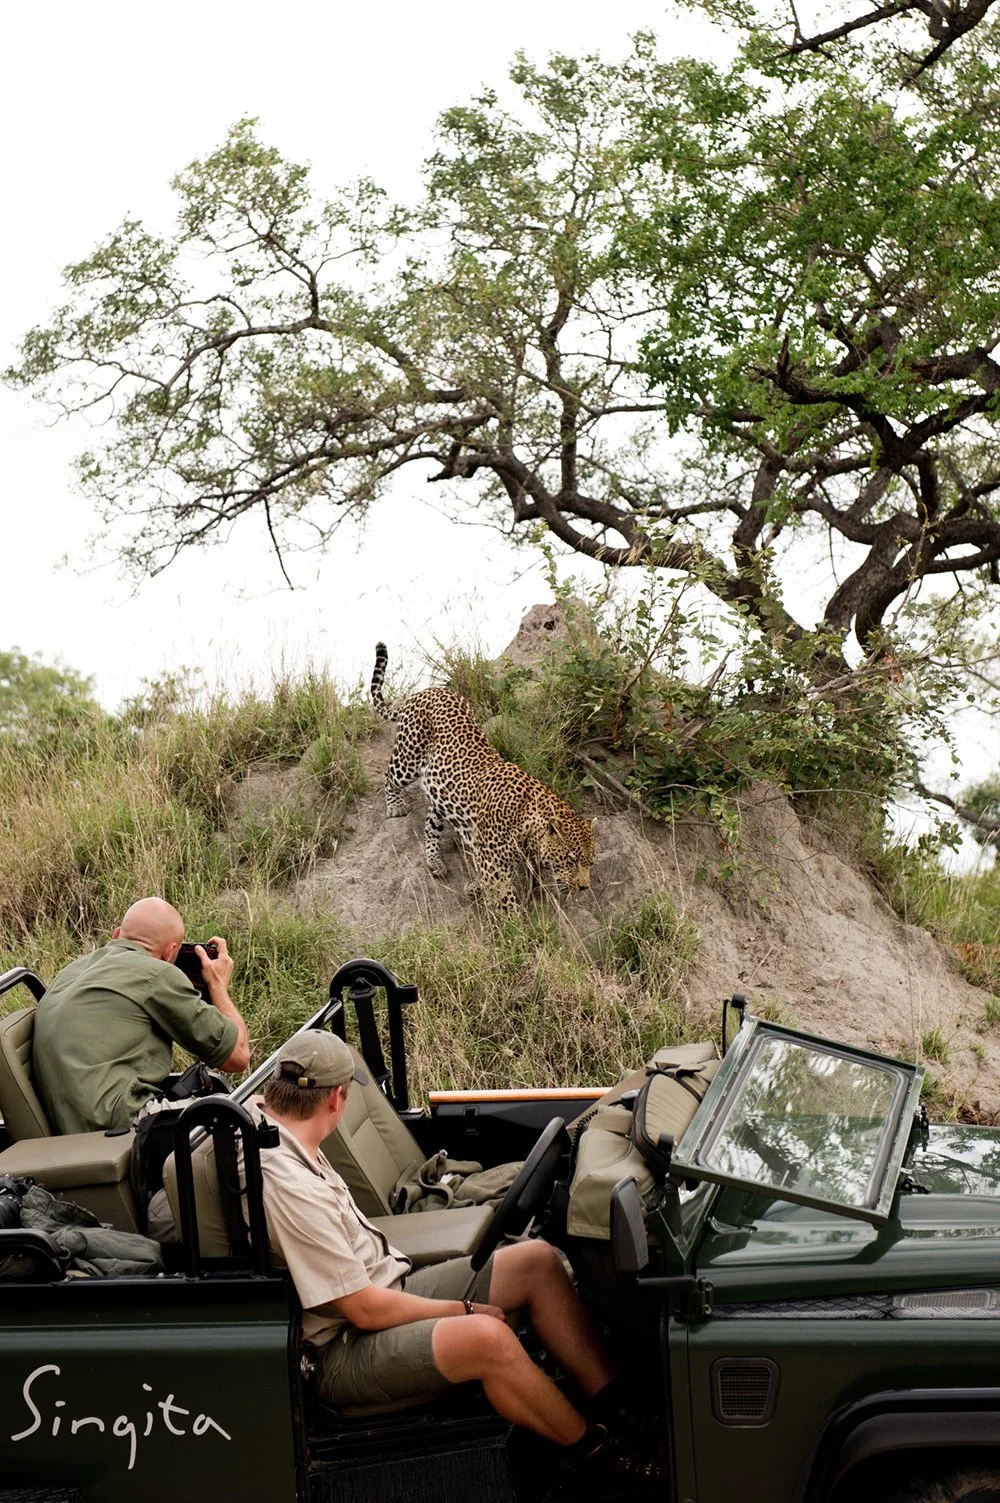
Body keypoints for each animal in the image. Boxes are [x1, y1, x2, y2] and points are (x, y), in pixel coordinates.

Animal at [371, 642, 596, 910]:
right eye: (571, 860)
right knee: (389, 776)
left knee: (431, 822)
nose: (584, 887)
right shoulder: (494, 865)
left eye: (590, 863)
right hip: (408, 756)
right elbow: (508, 902)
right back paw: (395, 806)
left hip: (440, 788)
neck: (528, 822)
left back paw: (435, 861)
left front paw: (475, 888)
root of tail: (425, 691)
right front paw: (514, 918)